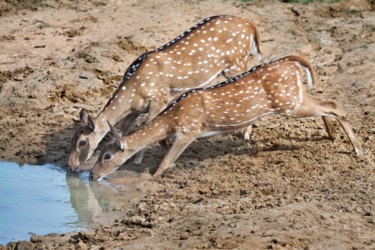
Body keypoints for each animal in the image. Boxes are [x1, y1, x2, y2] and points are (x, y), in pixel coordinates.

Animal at [67, 15, 262, 172]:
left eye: (82, 142)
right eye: (72, 139)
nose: (70, 166)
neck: (133, 91)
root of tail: (250, 24)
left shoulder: (159, 99)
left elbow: (147, 125)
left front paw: (138, 161)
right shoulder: (137, 109)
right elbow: (125, 127)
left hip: (236, 63)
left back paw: (246, 135)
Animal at [89, 55, 362, 180]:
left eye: (107, 155)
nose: (91, 175)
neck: (172, 118)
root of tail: (293, 62)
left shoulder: (189, 130)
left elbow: (165, 163)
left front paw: (151, 177)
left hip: (289, 103)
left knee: (334, 105)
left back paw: (357, 150)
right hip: (295, 98)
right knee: (328, 103)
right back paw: (334, 138)